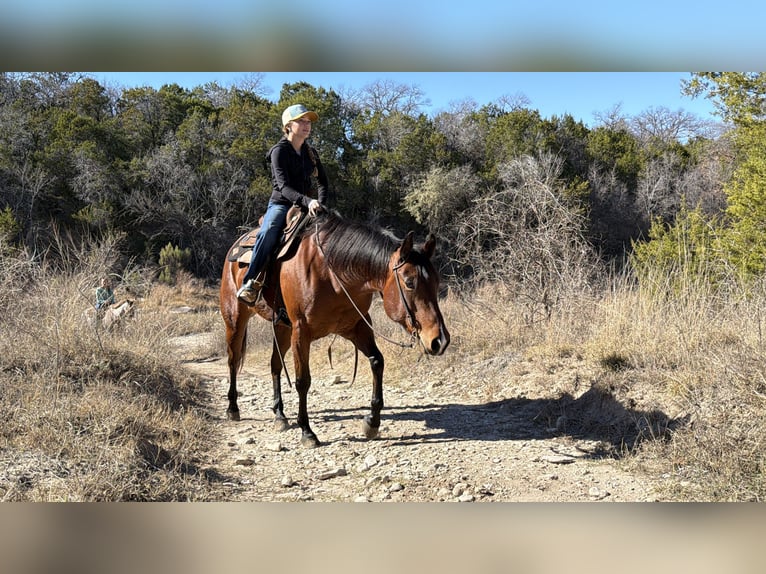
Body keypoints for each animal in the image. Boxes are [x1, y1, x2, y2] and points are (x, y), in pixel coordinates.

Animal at [219, 210, 451, 447]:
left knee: (275, 364)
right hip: (235, 319)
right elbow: (303, 381)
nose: (439, 340)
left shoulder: (356, 326)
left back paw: (280, 415)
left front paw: (372, 422)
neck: (333, 273)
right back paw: (233, 409)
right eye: (409, 282)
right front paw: (307, 431)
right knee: (233, 360)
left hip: (282, 327)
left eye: (436, 282)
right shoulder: (301, 331)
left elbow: (377, 362)